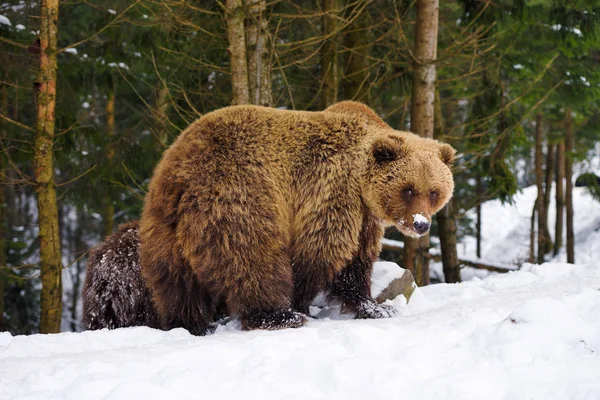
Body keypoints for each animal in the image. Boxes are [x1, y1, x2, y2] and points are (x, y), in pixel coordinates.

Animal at [137, 101, 454, 334]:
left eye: (434, 191)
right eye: (408, 189)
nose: (421, 223)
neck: (361, 184)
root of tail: (181, 173)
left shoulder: (364, 217)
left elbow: (357, 260)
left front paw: (376, 307)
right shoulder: (332, 191)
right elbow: (321, 251)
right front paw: (302, 302)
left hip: (162, 226)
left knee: (177, 283)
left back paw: (187, 323)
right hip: (238, 195)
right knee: (253, 257)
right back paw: (278, 315)